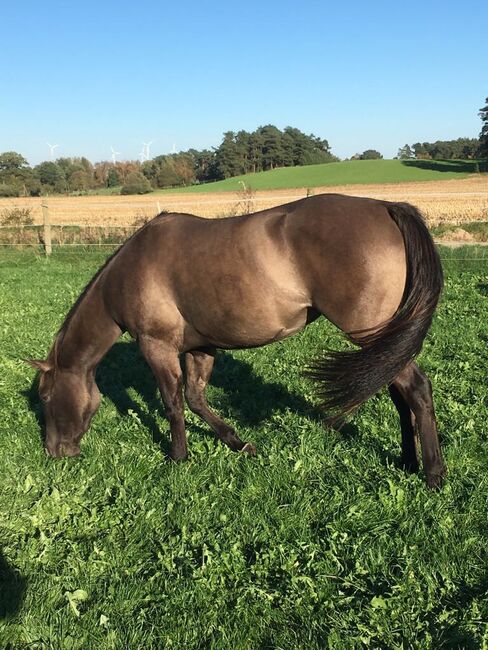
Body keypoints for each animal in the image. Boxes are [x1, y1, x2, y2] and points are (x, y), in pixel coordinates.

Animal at [26, 192, 446, 486]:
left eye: (45, 397)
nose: (53, 451)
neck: (130, 272)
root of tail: (387, 206)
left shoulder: (156, 346)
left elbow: (173, 403)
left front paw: (177, 458)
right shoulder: (201, 347)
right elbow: (196, 399)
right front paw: (239, 443)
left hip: (371, 335)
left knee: (417, 388)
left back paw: (434, 474)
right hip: (384, 343)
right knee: (398, 393)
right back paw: (408, 461)